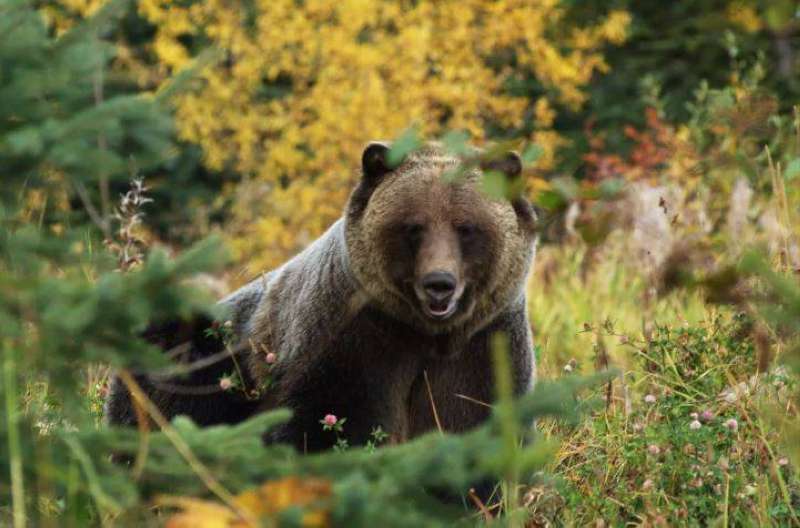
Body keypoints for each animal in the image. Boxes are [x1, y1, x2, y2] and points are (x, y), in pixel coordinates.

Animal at [104, 142, 536, 456]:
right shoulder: (351, 338)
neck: (423, 333)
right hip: (198, 363)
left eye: (466, 227)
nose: (439, 283)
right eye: (413, 227)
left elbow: (472, 424)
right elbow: (322, 424)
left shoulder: (483, 346)